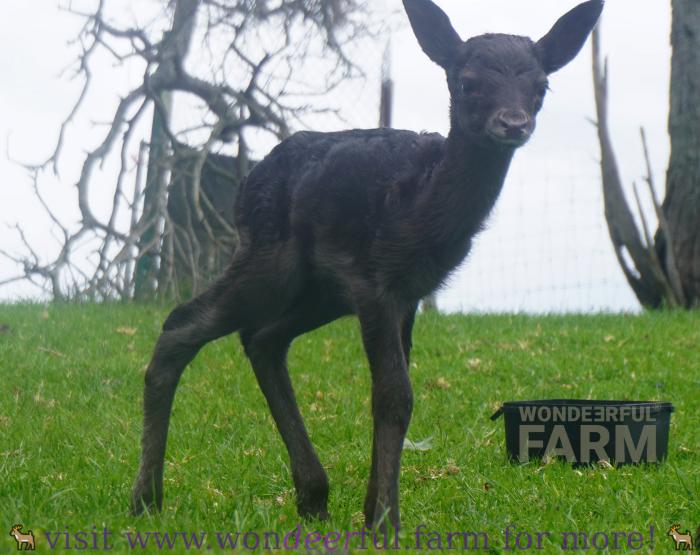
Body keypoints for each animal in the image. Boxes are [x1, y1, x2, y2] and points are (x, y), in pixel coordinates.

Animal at [131, 0, 603, 530]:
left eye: (541, 86)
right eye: (468, 82)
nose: (514, 122)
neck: (422, 208)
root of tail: (245, 185)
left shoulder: (409, 292)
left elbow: (394, 389)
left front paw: (372, 510)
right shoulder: (374, 278)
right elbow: (394, 394)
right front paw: (385, 521)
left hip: (317, 291)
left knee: (262, 338)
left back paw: (312, 496)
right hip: (269, 259)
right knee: (183, 323)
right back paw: (146, 498)